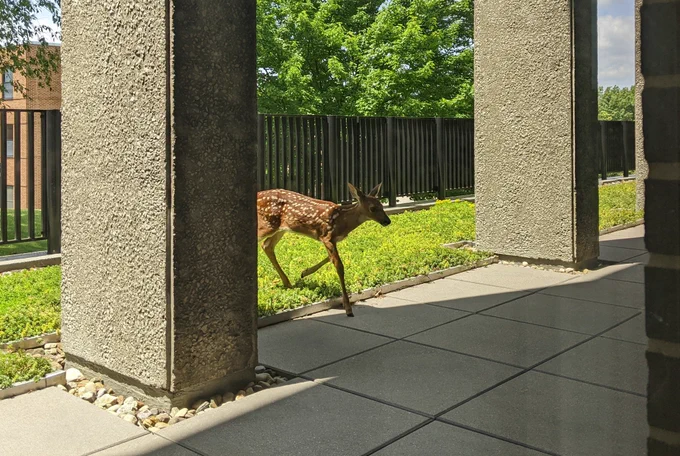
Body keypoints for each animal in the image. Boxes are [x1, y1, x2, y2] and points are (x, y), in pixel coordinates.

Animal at [257, 183, 391, 317]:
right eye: (373, 208)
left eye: (381, 205)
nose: (387, 221)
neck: (342, 221)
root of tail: (258, 194)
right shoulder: (326, 236)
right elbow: (339, 266)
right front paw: (348, 308)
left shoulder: (332, 240)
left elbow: (330, 258)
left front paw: (304, 272)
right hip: (268, 224)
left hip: (281, 228)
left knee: (267, 245)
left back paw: (288, 283)